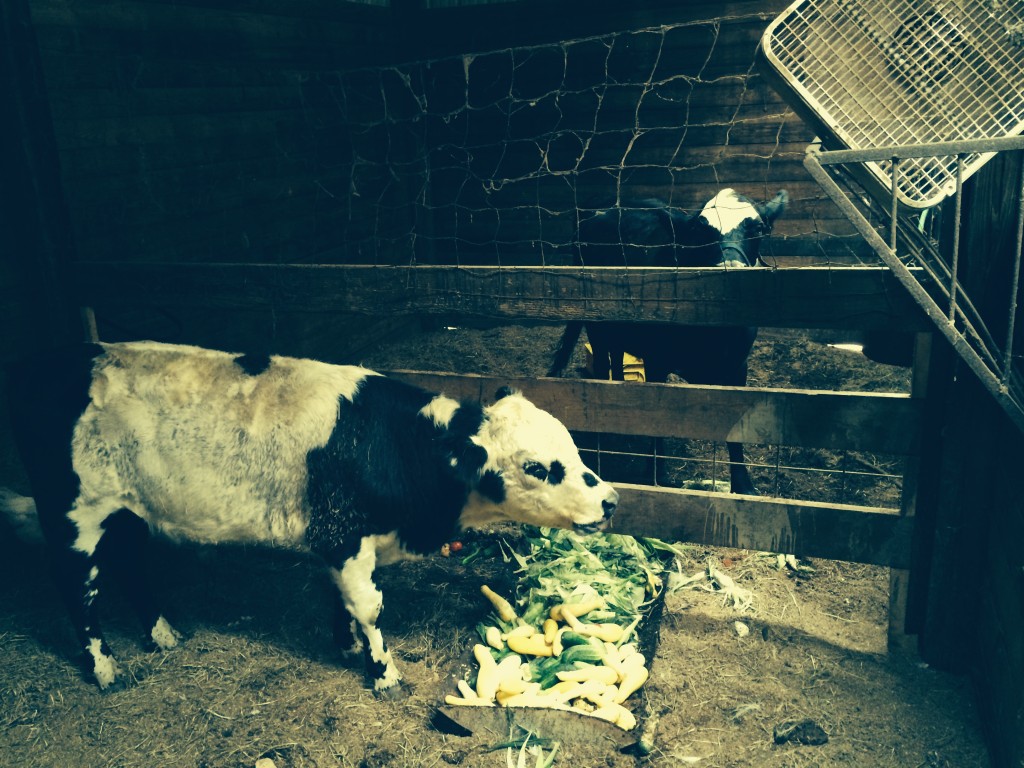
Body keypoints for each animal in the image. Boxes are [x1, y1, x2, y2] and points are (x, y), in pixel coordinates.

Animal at [4, 339, 618, 696]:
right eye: (537, 467)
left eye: (574, 449)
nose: (610, 500)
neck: (388, 445)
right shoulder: (342, 535)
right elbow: (369, 607)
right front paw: (383, 673)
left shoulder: (340, 541)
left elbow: (342, 601)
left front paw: (346, 646)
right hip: (75, 514)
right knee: (79, 587)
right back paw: (104, 668)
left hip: (130, 511)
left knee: (131, 565)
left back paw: (162, 635)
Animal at [548, 189, 786, 495]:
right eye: (700, 231)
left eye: (757, 228)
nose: (729, 269)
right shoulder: (657, 360)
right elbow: (657, 417)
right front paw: (657, 476)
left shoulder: (738, 365)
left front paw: (743, 485)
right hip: (596, 322)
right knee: (601, 364)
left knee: (616, 358)